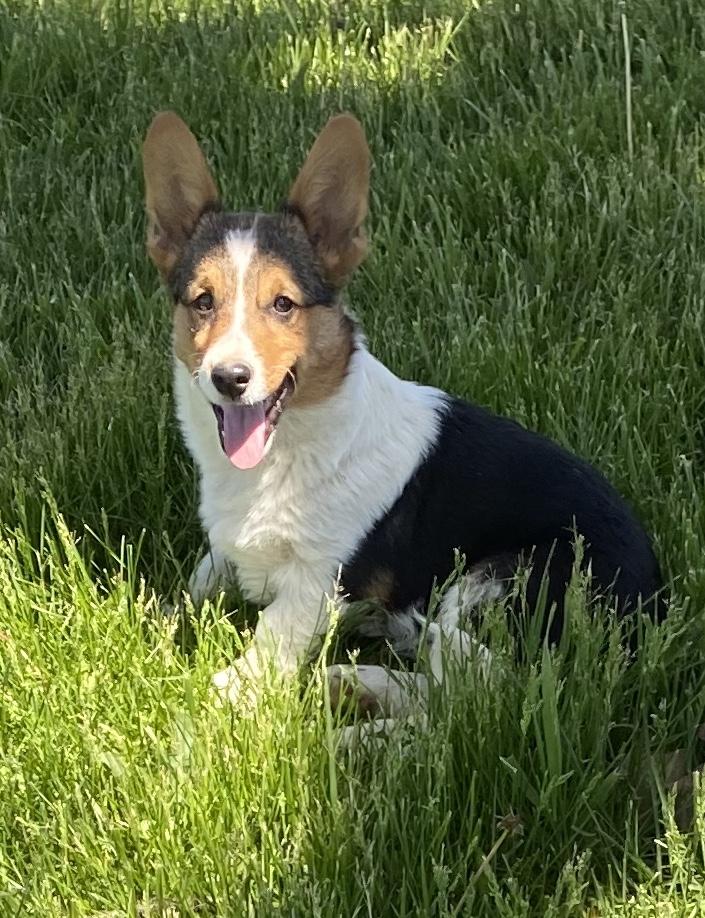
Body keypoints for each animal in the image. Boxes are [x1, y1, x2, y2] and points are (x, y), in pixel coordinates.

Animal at [142, 111, 664, 721]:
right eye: (203, 302)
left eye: (284, 304)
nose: (231, 378)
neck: (288, 448)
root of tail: (651, 609)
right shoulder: (225, 557)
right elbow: (194, 587)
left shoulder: (319, 580)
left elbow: (272, 637)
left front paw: (226, 693)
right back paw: (352, 685)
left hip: (499, 580)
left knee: (474, 696)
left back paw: (356, 705)